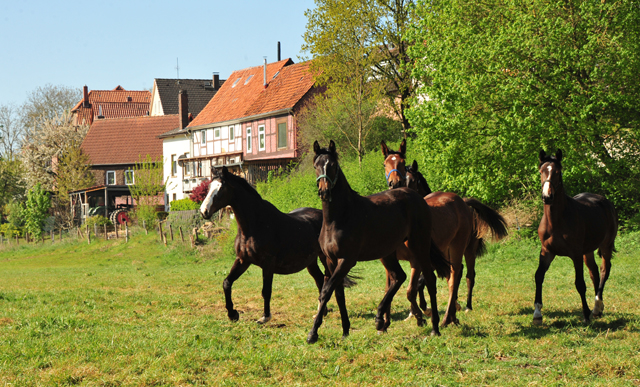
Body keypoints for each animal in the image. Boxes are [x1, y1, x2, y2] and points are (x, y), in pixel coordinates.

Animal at [202, 167, 348, 328]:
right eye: (209, 187)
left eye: (221, 188)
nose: (204, 211)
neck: (254, 225)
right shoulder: (242, 260)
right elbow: (227, 283)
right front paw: (232, 314)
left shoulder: (268, 264)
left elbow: (266, 291)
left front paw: (265, 317)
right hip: (311, 262)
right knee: (320, 280)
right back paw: (321, 313)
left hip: (325, 258)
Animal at [306, 141, 450, 344]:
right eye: (316, 166)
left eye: (333, 165)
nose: (324, 191)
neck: (339, 217)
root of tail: (418, 199)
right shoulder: (331, 260)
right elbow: (338, 293)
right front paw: (345, 330)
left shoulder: (347, 260)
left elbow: (326, 291)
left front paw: (313, 333)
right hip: (388, 253)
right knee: (399, 277)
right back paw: (380, 318)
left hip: (419, 246)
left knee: (429, 279)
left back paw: (434, 327)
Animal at [380, 141, 510, 326]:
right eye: (385, 164)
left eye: (402, 163)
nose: (395, 184)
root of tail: (463, 202)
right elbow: (390, 288)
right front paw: (387, 320)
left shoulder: (418, 259)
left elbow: (413, 288)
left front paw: (421, 314)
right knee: (453, 276)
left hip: (464, 250)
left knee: (462, 276)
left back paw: (458, 311)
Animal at [532, 150, 616, 326]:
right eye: (541, 171)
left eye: (558, 172)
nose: (547, 197)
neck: (556, 221)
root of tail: (605, 201)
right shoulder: (547, 252)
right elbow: (538, 276)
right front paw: (537, 314)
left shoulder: (576, 254)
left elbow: (580, 283)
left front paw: (585, 314)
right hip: (588, 251)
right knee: (594, 271)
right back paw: (598, 309)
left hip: (606, 245)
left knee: (604, 270)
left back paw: (596, 307)